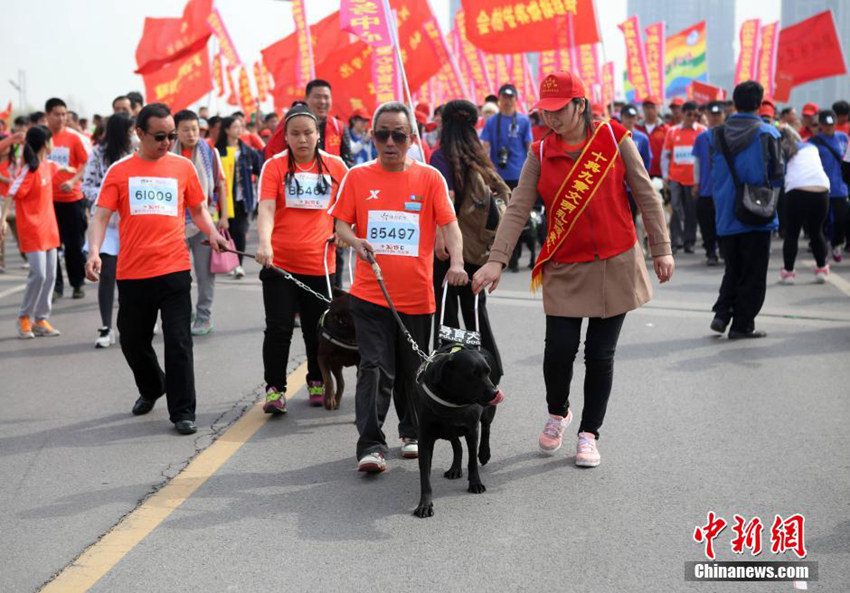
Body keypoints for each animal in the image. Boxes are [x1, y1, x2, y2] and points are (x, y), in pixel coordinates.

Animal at [412, 342, 504, 520]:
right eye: (472, 374)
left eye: (487, 372)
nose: (494, 393)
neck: (452, 399)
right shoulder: (425, 438)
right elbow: (424, 474)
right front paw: (425, 504)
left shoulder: (472, 430)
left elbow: (472, 462)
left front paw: (475, 483)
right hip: (448, 429)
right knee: (457, 444)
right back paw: (455, 468)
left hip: (488, 413)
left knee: (486, 428)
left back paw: (484, 453)